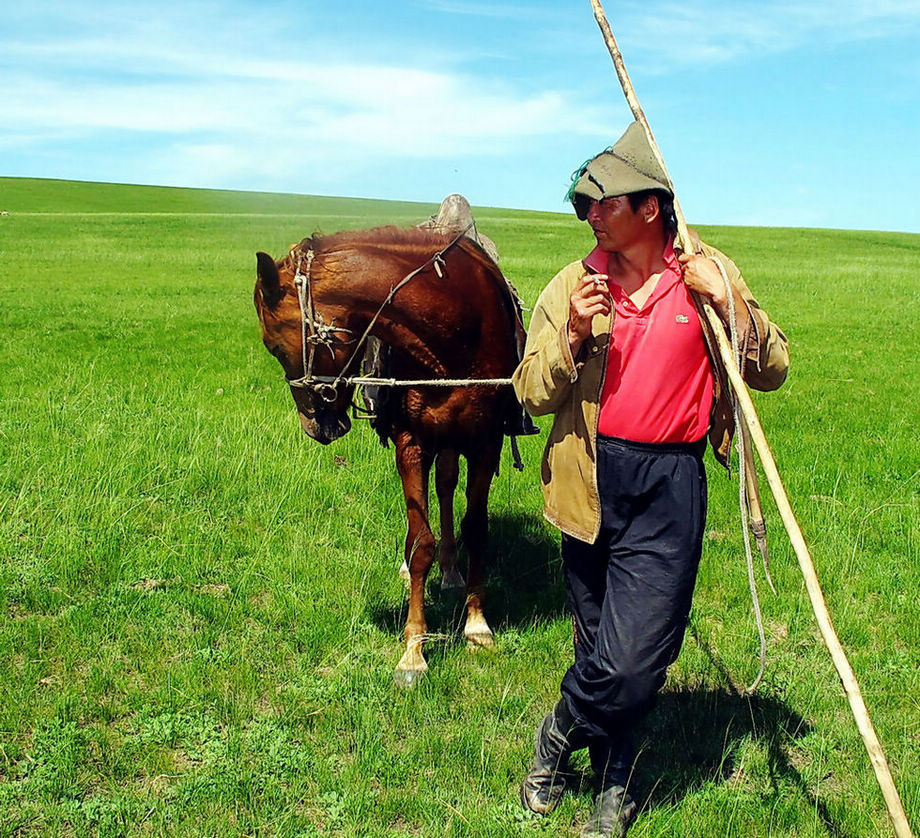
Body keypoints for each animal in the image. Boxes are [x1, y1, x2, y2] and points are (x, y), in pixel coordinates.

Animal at [253, 226, 524, 684]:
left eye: (273, 345)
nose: (316, 427)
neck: (455, 332)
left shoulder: (486, 443)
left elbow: (476, 529)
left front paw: (477, 625)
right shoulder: (411, 443)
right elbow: (420, 544)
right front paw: (413, 650)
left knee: (446, 487)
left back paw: (452, 571)